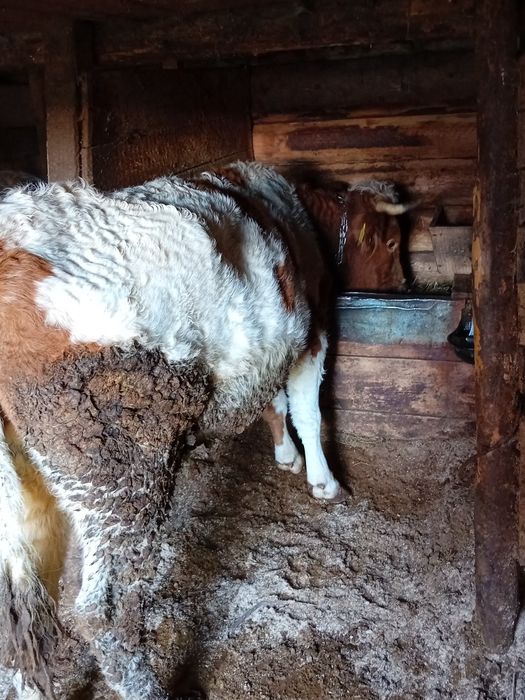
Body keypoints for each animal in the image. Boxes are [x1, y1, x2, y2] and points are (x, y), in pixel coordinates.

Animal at [0, 162, 410, 699]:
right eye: (390, 242)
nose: (404, 282)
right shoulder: (313, 330)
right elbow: (307, 410)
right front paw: (323, 481)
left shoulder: (268, 349)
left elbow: (274, 404)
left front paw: (286, 456)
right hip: (114, 466)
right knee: (103, 610)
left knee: (23, 613)